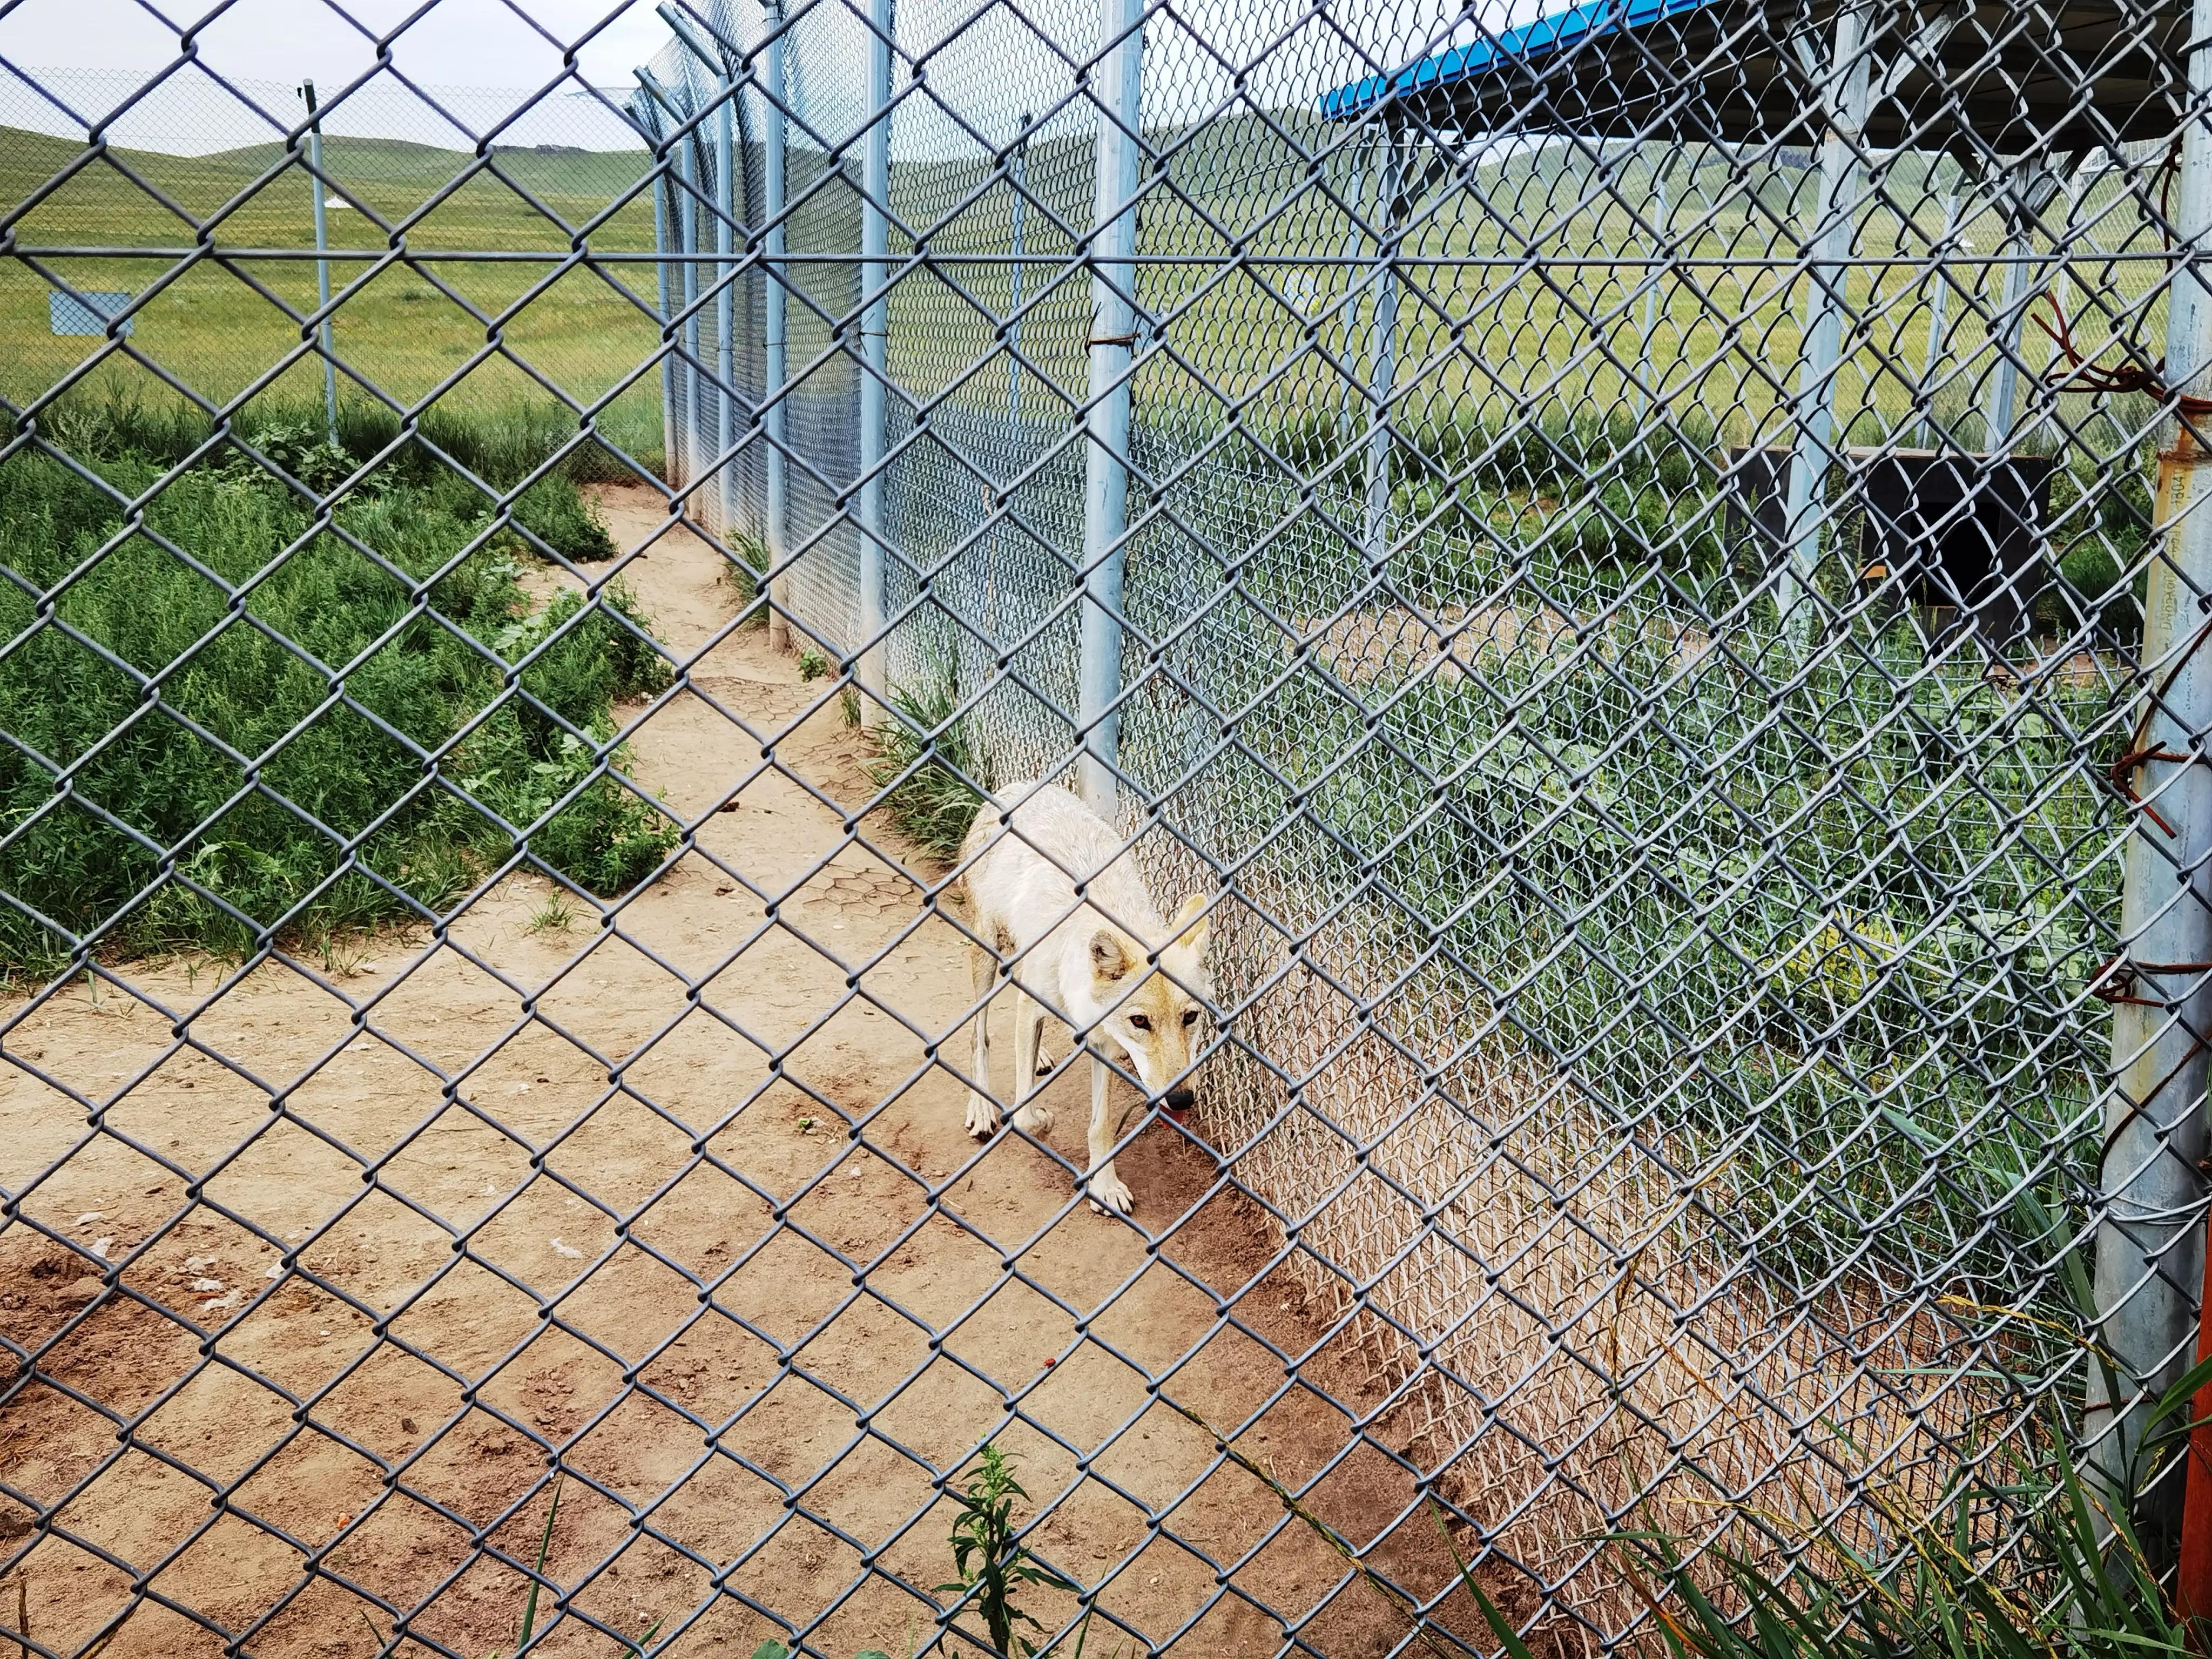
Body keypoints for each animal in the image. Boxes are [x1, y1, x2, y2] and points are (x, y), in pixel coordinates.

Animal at [960, 787, 1212, 1212]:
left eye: (1190, 1018)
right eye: (1140, 1021)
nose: (1180, 1099)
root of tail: (1019, 786)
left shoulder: (1103, 1041)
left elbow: (1102, 1125)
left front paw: (1105, 1186)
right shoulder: (1034, 1008)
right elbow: (1025, 1115)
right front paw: (1040, 1121)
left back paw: (1040, 1058)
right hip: (985, 953)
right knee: (980, 1033)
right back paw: (981, 1107)